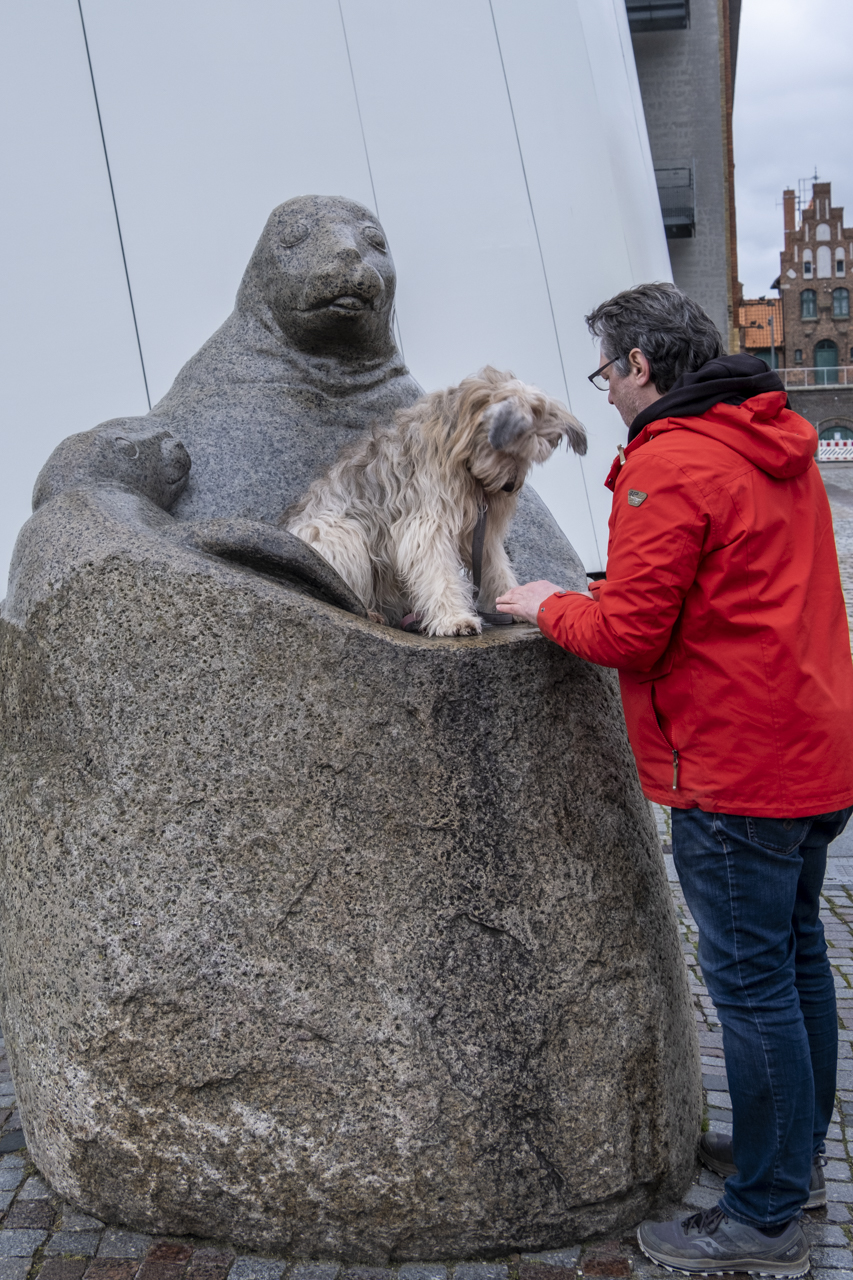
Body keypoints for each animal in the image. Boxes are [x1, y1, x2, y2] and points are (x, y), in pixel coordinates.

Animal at [280, 366, 584, 634]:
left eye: (530, 455)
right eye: (511, 449)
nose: (510, 486)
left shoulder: (479, 531)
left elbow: (496, 566)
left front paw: (513, 601)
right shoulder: (427, 525)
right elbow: (439, 572)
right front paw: (454, 619)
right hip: (333, 531)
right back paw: (370, 612)